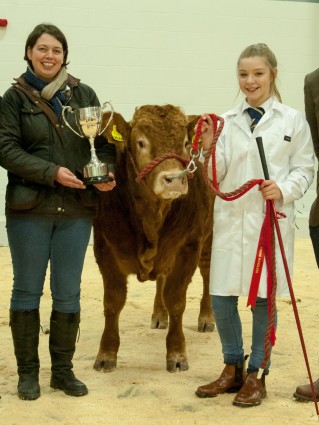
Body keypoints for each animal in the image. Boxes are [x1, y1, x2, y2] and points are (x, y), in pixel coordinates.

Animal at [94, 105, 216, 372]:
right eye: (141, 142)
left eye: (184, 143)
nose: (174, 179)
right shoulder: (105, 248)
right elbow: (113, 302)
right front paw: (106, 353)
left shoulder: (188, 248)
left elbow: (176, 300)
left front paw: (177, 354)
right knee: (161, 278)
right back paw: (159, 315)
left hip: (208, 240)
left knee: (207, 274)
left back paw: (206, 317)